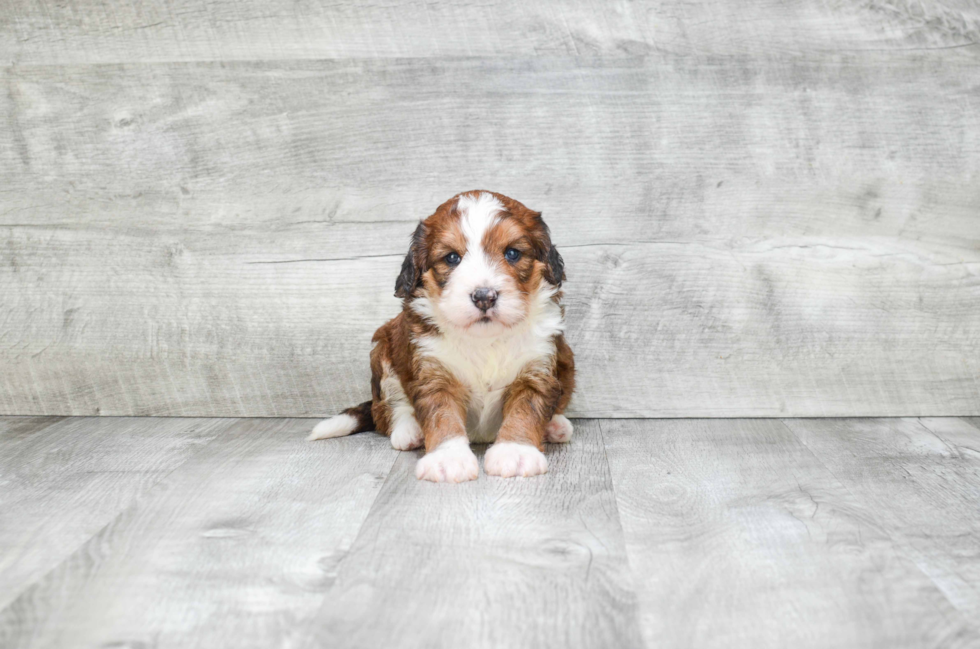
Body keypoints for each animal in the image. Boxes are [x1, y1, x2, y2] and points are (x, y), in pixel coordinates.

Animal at [310, 191, 576, 480]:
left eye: (513, 253)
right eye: (451, 258)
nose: (484, 296)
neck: (485, 340)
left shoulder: (537, 367)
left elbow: (525, 409)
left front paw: (515, 452)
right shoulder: (433, 372)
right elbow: (442, 413)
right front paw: (449, 459)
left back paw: (556, 426)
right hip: (383, 349)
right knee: (389, 406)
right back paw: (409, 431)